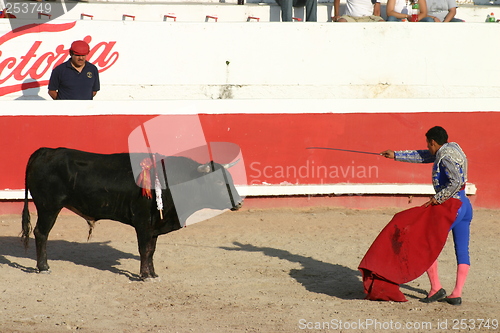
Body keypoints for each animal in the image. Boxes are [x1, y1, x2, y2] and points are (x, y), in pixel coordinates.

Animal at [20, 147, 243, 278]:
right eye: (217, 181)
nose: (240, 203)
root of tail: (44, 151)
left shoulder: (155, 226)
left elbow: (151, 250)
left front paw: (153, 273)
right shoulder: (143, 222)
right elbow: (144, 249)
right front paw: (144, 275)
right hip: (48, 207)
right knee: (41, 233)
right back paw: (43, 267)